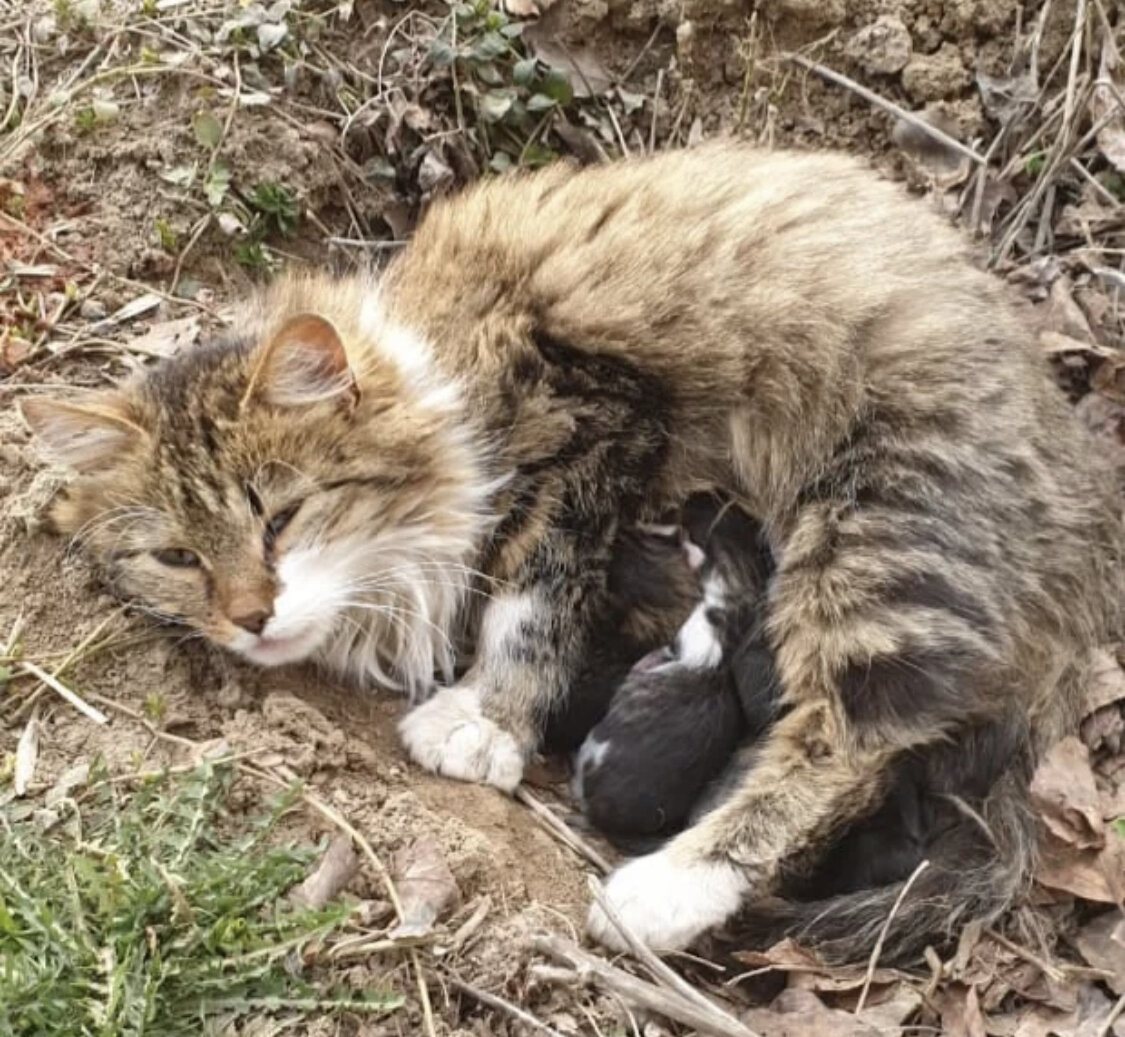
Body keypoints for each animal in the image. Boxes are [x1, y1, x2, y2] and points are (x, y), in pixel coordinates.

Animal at [21, 143, 1120, 962]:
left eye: (281, 518)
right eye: (177, 557)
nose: (250, 617)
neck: (438, 367)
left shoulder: (595, 415)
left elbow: (532, 593)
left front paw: (486, 720)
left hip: (877, 523)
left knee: (845, 741)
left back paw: (662, 891)